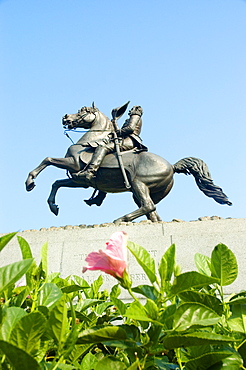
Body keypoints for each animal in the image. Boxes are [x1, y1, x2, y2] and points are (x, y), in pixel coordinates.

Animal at [26, 103, 232, 223]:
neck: (88, 141)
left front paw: (29, 182)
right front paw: (53, 207)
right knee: (153, 213)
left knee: (149, 207)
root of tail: (172, 167)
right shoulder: (80, 181)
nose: (65, 117)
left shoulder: (73, 165)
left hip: (138, 184)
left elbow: (48, 160)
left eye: (82, 111)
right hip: (145, 191)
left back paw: (120, 220)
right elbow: (56, 183)